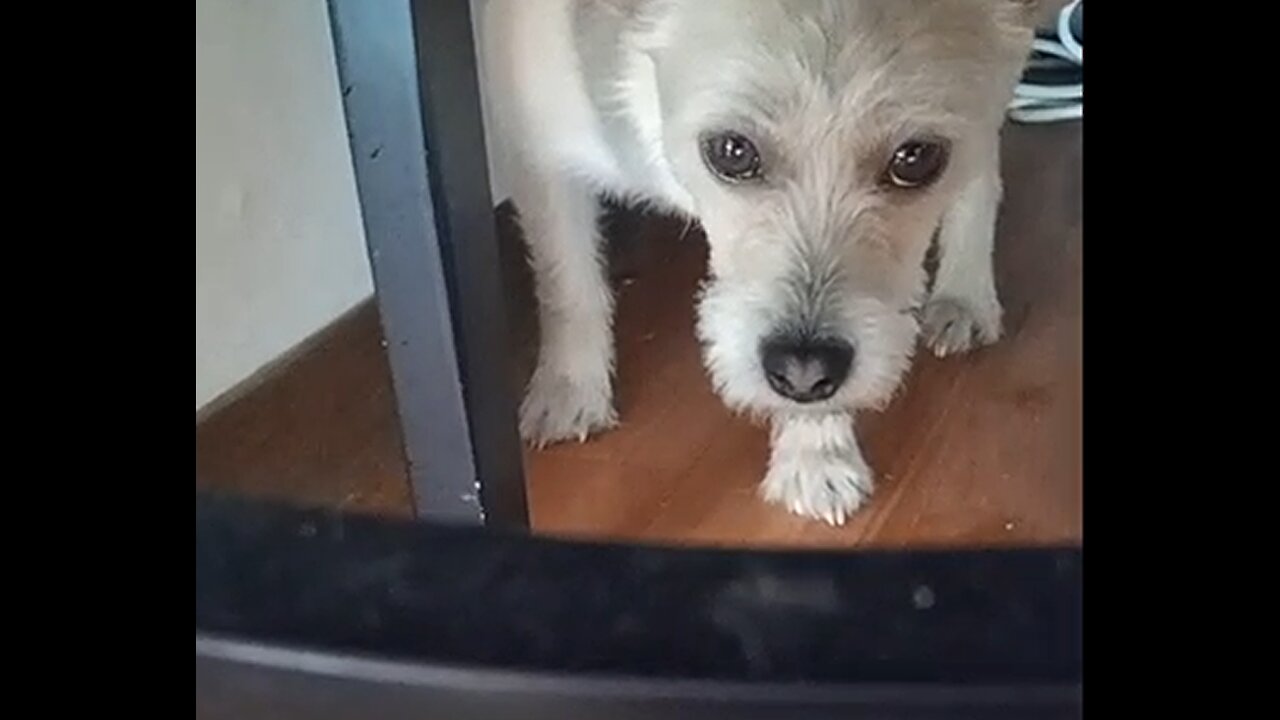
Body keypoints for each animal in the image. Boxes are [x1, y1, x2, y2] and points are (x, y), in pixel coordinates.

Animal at [481, 0, 1039, 520]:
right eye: (731, 151)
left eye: (916, 158)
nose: (802, 370)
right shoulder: (541, 147)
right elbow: (568, 286)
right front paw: (570, 388)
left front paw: (815, 455)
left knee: (983, 166)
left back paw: (965, 294)